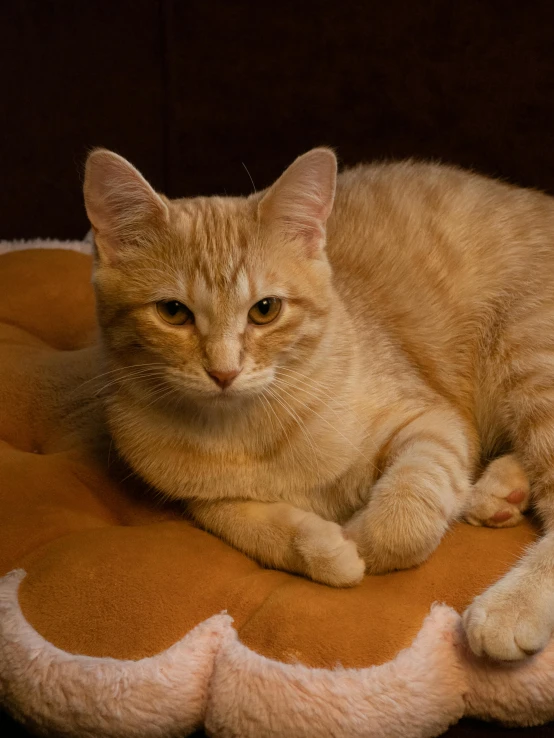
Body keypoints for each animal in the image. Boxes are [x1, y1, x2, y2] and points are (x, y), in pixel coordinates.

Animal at [84, 148, 552, 660]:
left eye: (265, 310)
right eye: (172, 312)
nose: (224, 372)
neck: (249, 431)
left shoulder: (432, 420)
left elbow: (407, 509)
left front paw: (365, 540)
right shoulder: (204, 499)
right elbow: (252, 528)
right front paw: (328, 551)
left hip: (528, 359)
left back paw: (510, 604)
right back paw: (501, 493)